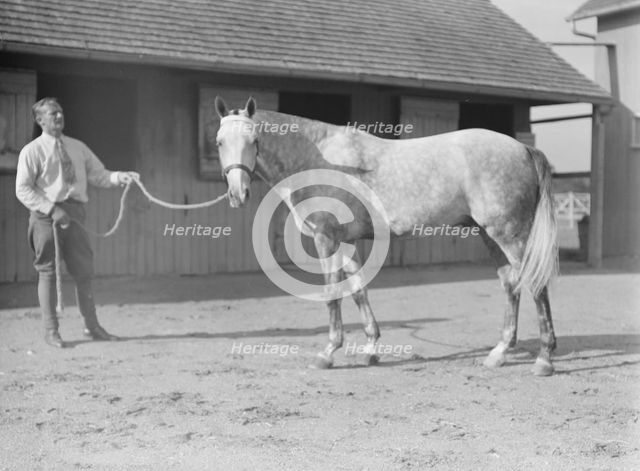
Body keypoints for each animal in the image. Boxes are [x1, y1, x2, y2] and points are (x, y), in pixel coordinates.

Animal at [214, 96, 559, 376]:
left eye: (254, 139)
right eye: (219, 142)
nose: (237, 194)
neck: (320, 160)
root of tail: (523, 148)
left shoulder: (326, 238)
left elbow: (332, 295)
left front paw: (327, 354)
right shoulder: (347, 241)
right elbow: (358, 292)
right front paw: (370, 349)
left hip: (510, 234)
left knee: (535, 284)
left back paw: (544, 359)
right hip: (491, 235)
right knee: (511, 285)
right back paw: (499, 353)